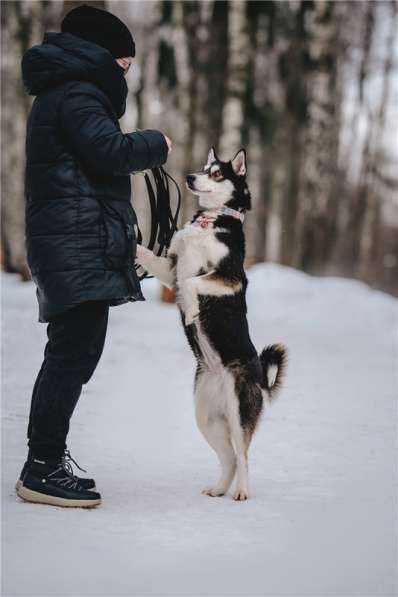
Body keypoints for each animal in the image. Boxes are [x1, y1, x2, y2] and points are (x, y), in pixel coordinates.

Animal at [137, 148, 286, 498]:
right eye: (205, 168)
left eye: (217, 174)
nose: (190, 177)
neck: (213, 219)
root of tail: (259, 374)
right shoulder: (171, 272)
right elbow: (150, 256)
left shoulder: (230, 279)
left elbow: (194, 283)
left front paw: (192, 311)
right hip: (206, 418)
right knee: (229, 457)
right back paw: (220, 489)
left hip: (237, 412)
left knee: (243, 455)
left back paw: (242, 492)